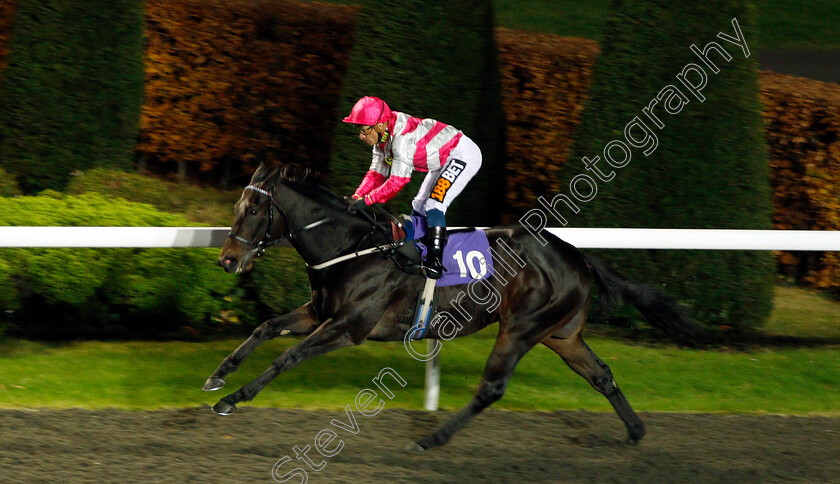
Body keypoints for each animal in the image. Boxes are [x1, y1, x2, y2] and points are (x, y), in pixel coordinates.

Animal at [207, 164, 700, 450]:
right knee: (601, 375)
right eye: (235, 207)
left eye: (254, 211)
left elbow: (288, 356)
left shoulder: (349, 325)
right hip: (562, 335)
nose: (227, 260)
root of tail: (578, 256)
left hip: (519, 328)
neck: (351, 246)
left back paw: (432, 438)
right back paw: (635, 432)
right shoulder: (319, 311)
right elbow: (265, 327)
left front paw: (233, 399)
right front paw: (218, 376)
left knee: (492, 389)